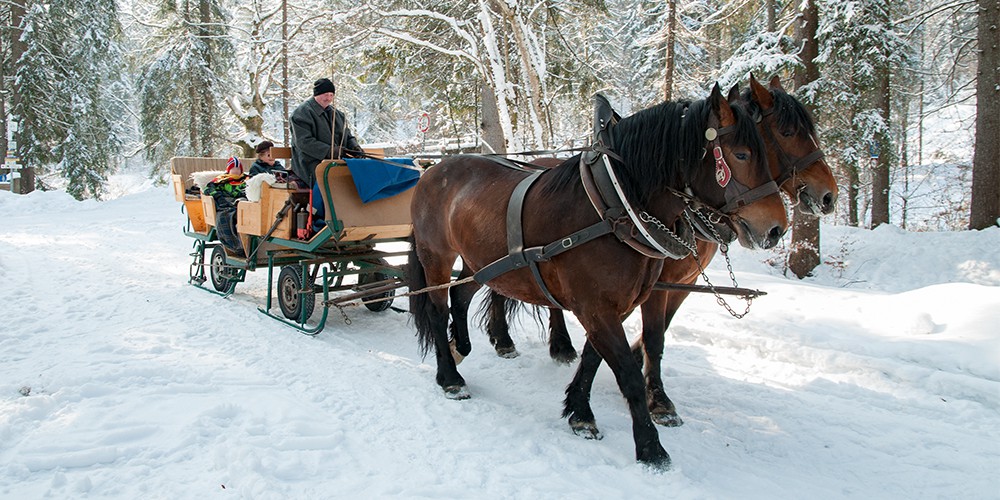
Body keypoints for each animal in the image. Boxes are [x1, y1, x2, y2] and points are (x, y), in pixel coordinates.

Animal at [406, 83, 788, 468]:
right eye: (741, 154)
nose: (775, 229)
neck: (615, 207)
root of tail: (434, 169)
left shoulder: (619, 303)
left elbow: (601, 356)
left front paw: (580, 412)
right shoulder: (596, 307)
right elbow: (627, 372)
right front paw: (650, 447)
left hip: (481, 260)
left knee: (461, 295)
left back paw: (462, 346)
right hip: (436, 255)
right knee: (437, 309)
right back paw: (450, 377)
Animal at [480, 75, 840, 434]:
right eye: (787, 133)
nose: (829, 196)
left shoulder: (676, 284)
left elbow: (647, 336)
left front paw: (623, 376)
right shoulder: (647, 288)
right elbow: (650, 338)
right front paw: (657, 401)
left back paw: (555, 346)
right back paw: (506, 339)